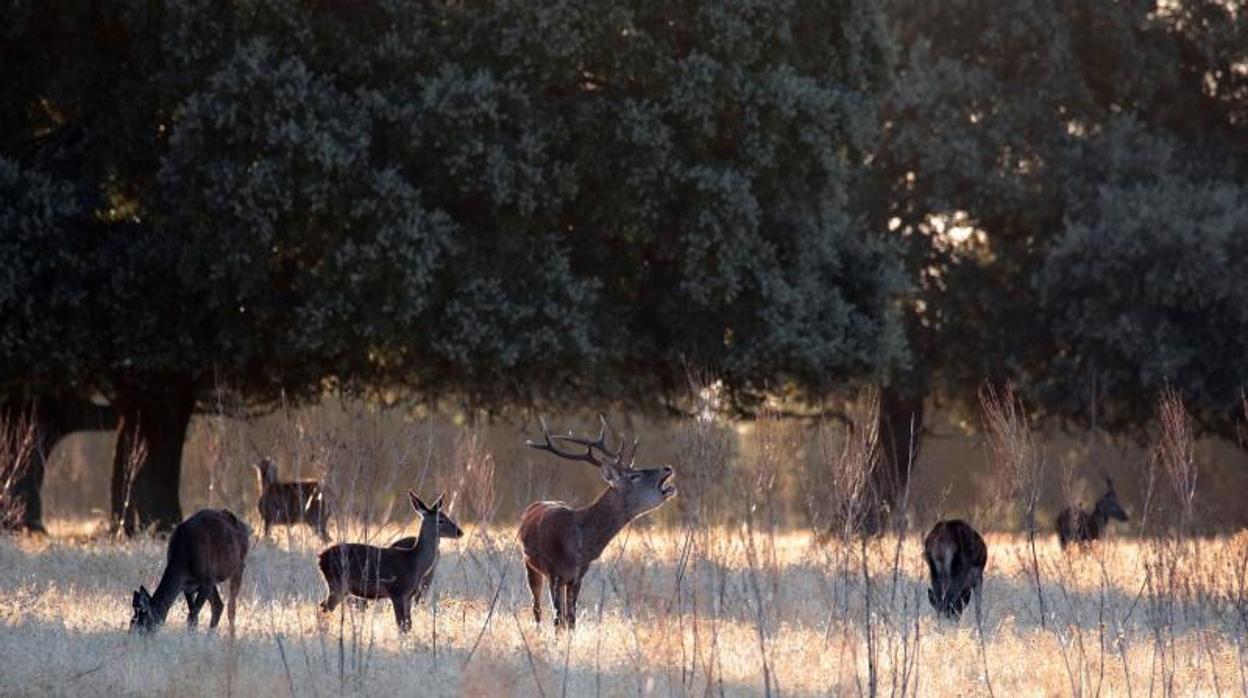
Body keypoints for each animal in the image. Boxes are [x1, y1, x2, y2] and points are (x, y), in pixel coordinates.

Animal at [129, 506, 250, 634]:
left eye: (141, 625)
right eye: (131, 623)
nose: (131, 635)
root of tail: (245, 528)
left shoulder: (207, 580)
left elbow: (193, 616)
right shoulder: (188, 586)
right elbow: (193, 617)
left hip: (239, 565)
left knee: (231, 606)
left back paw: (231, 638)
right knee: (218, 605)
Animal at [316, 491, 464, 634]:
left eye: (447, 516)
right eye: (440, 520)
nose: (460, 532)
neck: (414, 562)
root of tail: (320, 559)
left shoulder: (408, 596)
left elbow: (408, 625)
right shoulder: (396, 591)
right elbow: (401, 625)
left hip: (339, 587)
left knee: (322, 606)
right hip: (338, 584)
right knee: (323, 608)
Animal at [516, 414, 678, 634]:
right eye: (634, 476)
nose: (667, 467)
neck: (578, 545)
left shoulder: (577, 576)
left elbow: (571, 620)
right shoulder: (554, 572)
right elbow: (558, 620)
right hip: (530, 565)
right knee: (537, 608)